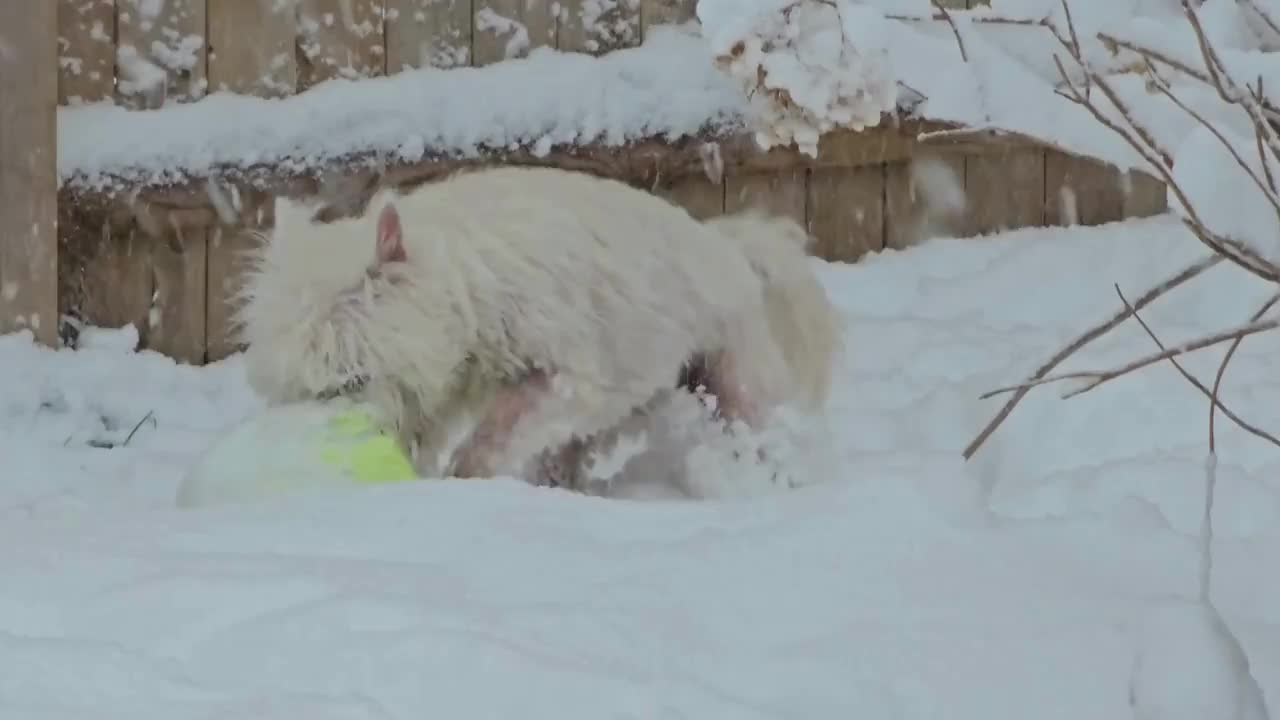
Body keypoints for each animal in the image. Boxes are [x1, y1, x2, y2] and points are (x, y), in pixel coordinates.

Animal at [236, 165, 844, 484]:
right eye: (290, 390)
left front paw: (466, 476)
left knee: (755, 428)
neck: (471, 290)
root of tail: (728, 245)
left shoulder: (566, 375)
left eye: (350, 380)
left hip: (731, 378)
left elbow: (500, 425)